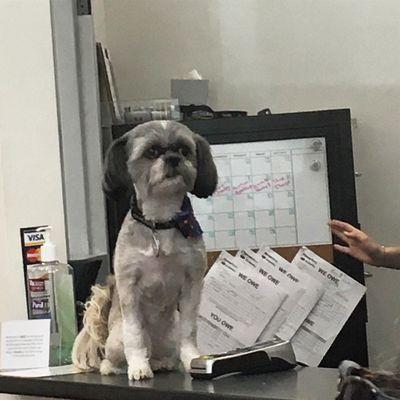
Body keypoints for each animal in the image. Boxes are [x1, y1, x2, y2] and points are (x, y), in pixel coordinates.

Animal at [72, 120, 216, 380]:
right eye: (152, 151)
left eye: (184, 150)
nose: (173, 159)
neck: (160, 221)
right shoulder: (129, 286)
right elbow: (135, 334)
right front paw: (139, 366)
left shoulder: (192, 283)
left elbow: (189, 329)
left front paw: (192, 358)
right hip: (116, 340)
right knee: (112, 357)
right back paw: (119, 366)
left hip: (169, 336)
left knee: (166, 352)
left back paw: (163, 362)